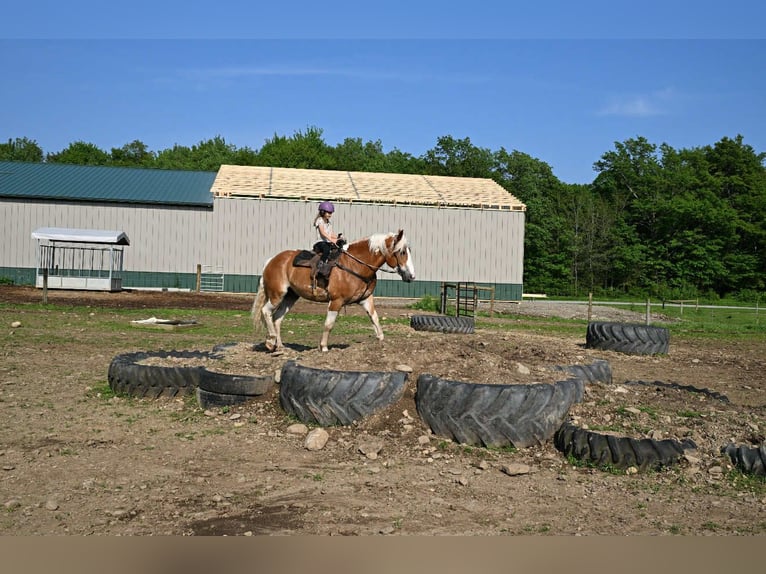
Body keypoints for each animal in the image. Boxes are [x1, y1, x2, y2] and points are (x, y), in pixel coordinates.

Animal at [252, 229, 415, 352]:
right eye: (401, 252)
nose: (412, 276)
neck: (355, 265)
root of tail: (272, 261)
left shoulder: (365, 299)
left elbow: (374, 318)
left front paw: (381, 341)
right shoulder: (336, 301)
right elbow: (329, 324)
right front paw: (323, 347)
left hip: (290, 296)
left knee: (277, 318)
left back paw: (280, 346)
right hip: (276, 295)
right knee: (266, 311)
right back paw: (270, 341)